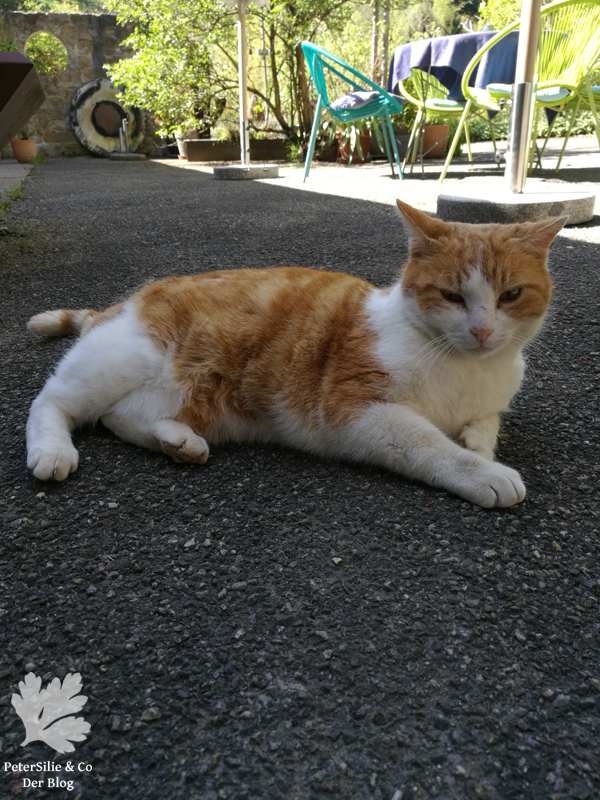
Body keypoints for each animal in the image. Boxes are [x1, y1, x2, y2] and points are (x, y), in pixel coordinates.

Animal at [25, 200, 565, 508]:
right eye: (452, 296)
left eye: (511, 295)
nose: (482, 330)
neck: (466, 368)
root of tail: (128, 299)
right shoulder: (352, 408)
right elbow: (431, 446)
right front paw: (484, 472)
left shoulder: (490, 401)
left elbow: (486, 424)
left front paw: (478, 445)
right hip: (125, 359)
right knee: (52, 403)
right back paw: (53, 452)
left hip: (180, 398)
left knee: (120, 417)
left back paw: (179, 441)